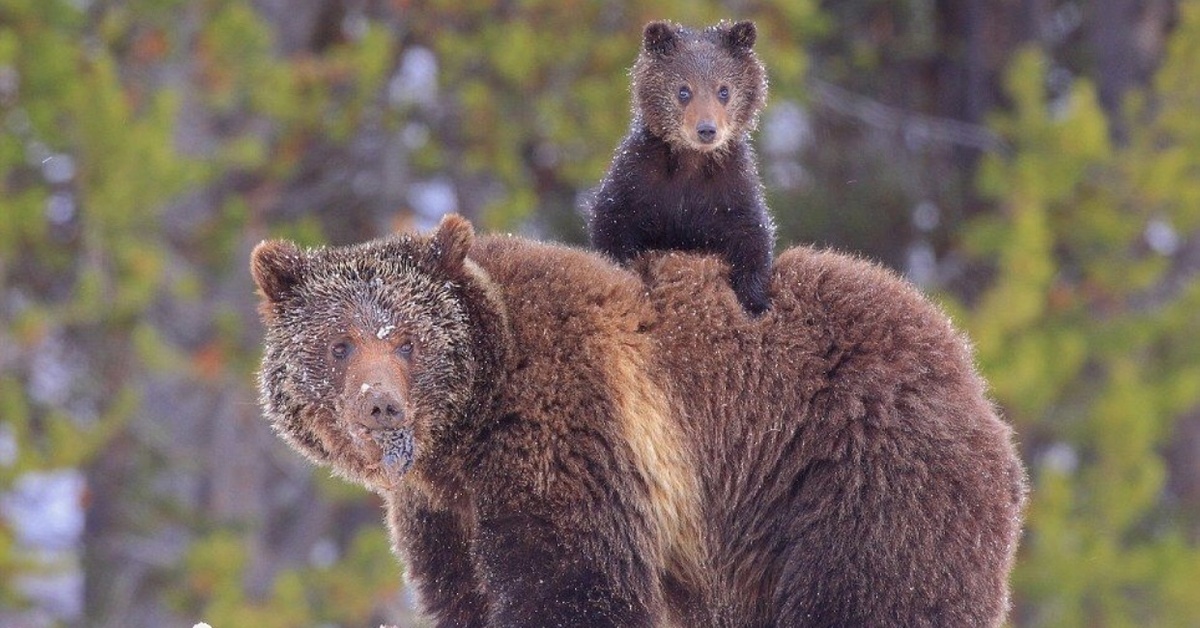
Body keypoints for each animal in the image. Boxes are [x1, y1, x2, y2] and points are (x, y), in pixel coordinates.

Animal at [250, 213, 1022, 624]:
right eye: (338, 342)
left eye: (408, 339)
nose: (380, 404)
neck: (465, 437)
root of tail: (964, 364)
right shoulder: (441, 514)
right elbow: (462, 593)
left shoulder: (569, 430)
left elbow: (568, 584)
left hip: (854, 479)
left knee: (879, 596)